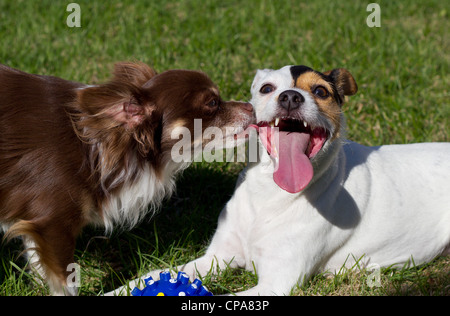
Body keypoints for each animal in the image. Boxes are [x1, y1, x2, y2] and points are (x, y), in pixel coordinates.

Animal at [113, 65, 450, 296]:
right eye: (267, 88)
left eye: (321, 91)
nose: (290, 96)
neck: (269, 195)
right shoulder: (217, 256)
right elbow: (153, 274)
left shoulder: (276, 282)